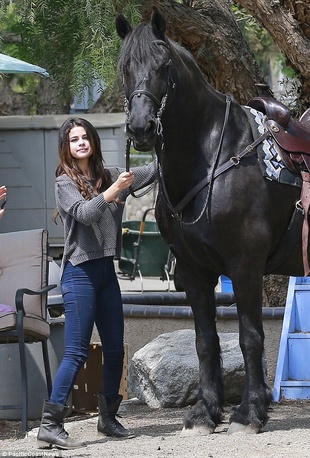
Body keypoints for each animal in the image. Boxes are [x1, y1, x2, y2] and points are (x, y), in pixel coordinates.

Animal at [115, 8, 310, 434]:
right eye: (124, 67)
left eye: (164, 66)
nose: (140, 128)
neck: (212, 158)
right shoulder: (193, 270)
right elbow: (205, 340)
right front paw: (205, 412)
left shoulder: (245, 264)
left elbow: (250, 337)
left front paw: (250, 413)